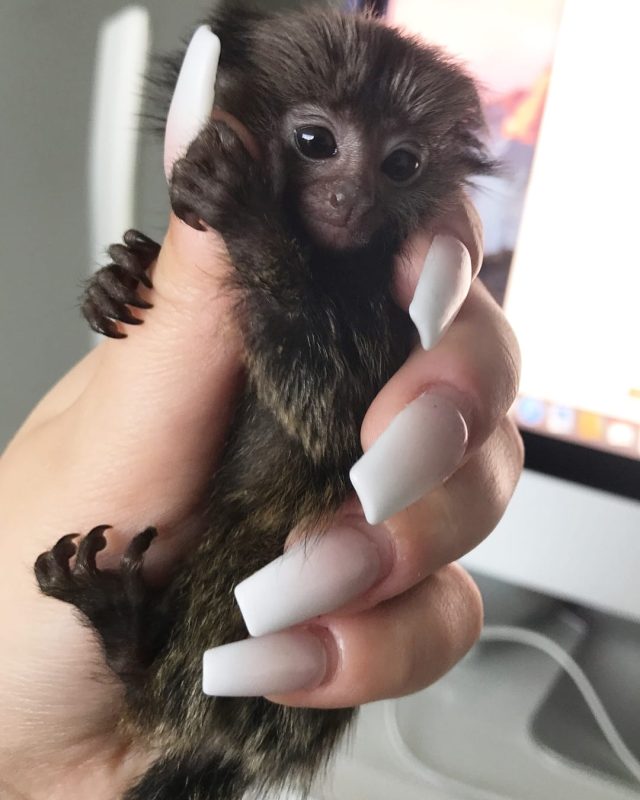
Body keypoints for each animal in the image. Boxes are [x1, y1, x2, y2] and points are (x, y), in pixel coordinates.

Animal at [34, 3, 494, 799]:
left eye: (401, 163)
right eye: (317, 142)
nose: (352, 198)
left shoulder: (398, 324)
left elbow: (339, 417)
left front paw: (249, 221)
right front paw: (120, 273)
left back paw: (131, 642)